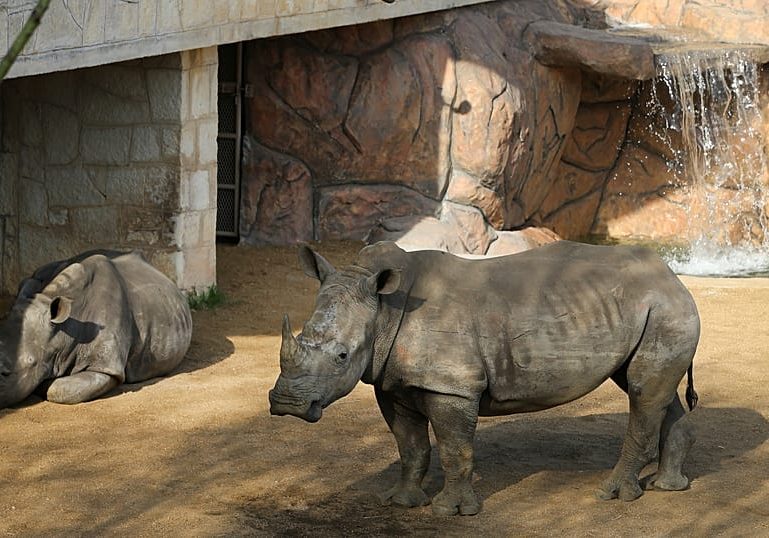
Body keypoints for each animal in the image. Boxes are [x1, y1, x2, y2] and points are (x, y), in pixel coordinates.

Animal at [269, 240, 700, 515]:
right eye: (301, 336)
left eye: (342, 356)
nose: (287, 404)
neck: (384, 310)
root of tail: (671, 275)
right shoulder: (391, 382)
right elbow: (410, 447)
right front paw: (401, 502)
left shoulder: (452, 386)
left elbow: (454, 448)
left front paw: (451, 511)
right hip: (652, 310)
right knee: (653, 392)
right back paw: (668, 486)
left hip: (664, 310)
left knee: (643, 394)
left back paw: (612, 495)